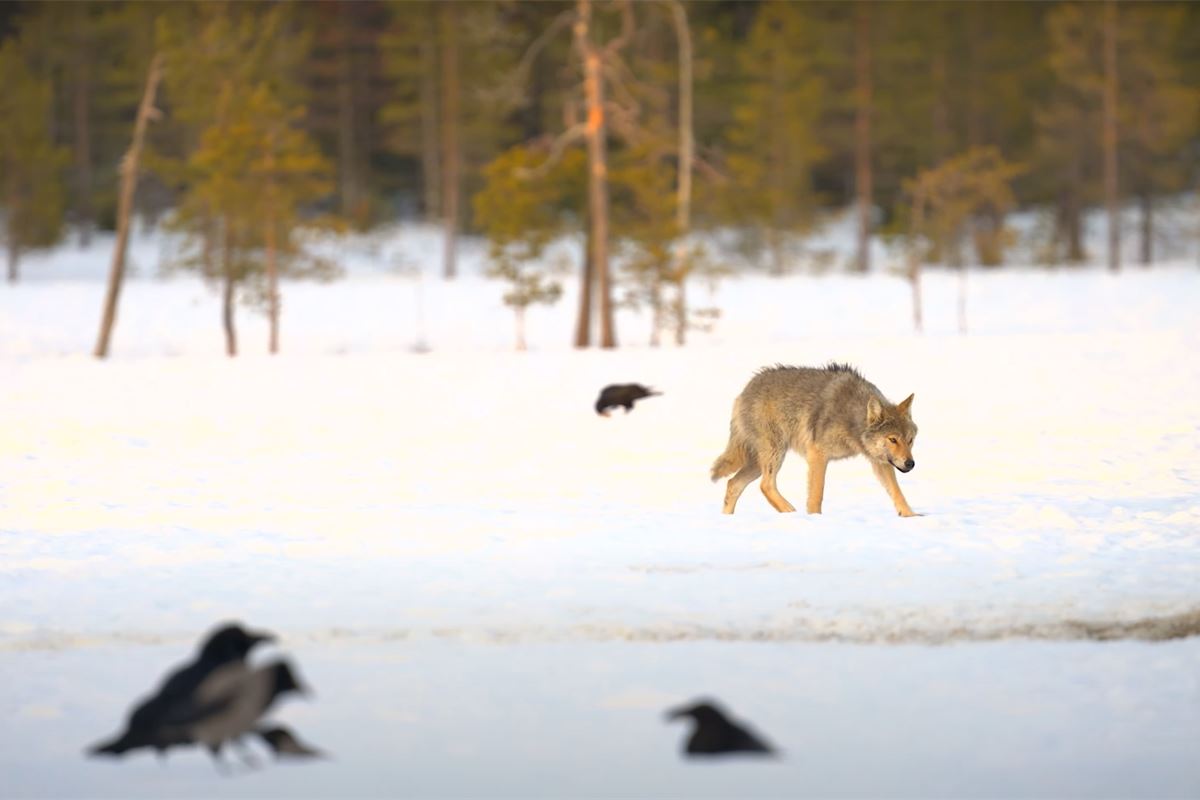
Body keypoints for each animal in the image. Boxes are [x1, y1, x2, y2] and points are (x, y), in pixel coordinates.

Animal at [710, 363, 918, 516]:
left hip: (758, 463)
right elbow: (817, 494)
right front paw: (815, 519)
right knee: (765, 485)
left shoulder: (880, 461)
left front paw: (911, 517)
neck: (851, 418)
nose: (911, 463)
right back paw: (789, 512)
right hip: (774, 454)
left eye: (910, 440)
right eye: (893, 439)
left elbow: (897, 492)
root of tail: (744, 391)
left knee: (733, 484)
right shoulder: (817, 453)